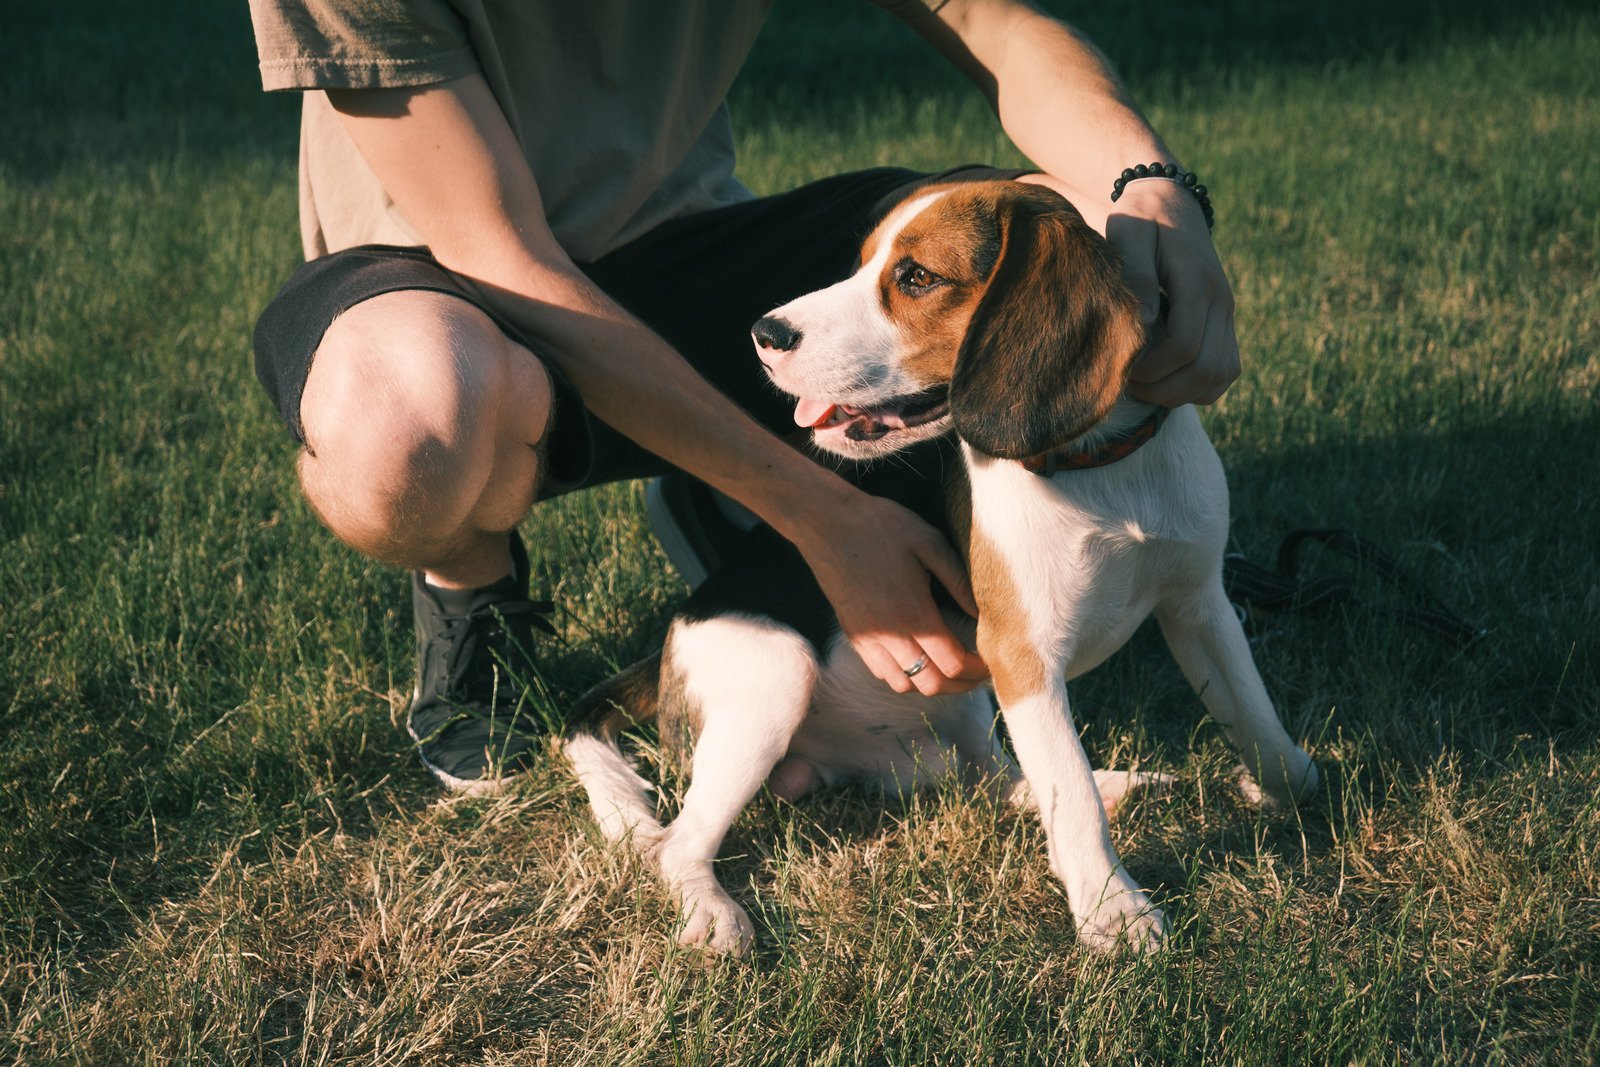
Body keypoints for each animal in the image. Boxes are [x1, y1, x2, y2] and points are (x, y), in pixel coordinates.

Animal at [569, 179, 1318, 953]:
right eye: (864, 264)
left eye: (917, 278)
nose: (764, 334)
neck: (1100, 467)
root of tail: (669, 641)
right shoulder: (1023, 656)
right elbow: (1071, 793)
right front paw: (1114, 910)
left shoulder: (1199, 605)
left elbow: (1266, 732)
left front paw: (1275, 788)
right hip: (776, 677)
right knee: (677, 845)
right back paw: (712, 912)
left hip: (961, 703)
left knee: (999, 781)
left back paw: (1117, 781)